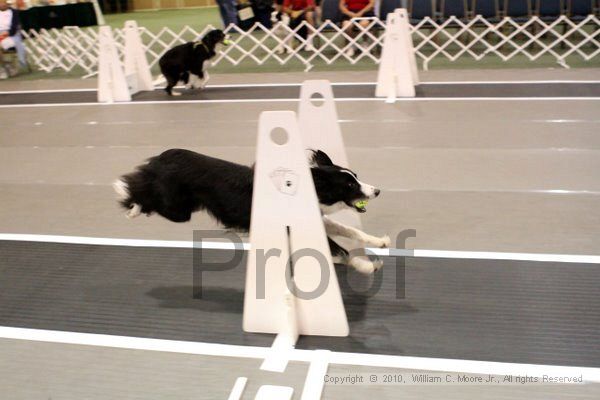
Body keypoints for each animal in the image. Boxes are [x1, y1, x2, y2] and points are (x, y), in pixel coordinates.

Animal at [115, 148, 392, 274]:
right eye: (349, 185)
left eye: (356, 176)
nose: (378, 191)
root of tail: (162, 157)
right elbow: (339, 249)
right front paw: (367, 266)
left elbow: (350, 231)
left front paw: (379, 242)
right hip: (178, 210)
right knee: (143, 193)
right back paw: (130, 203)